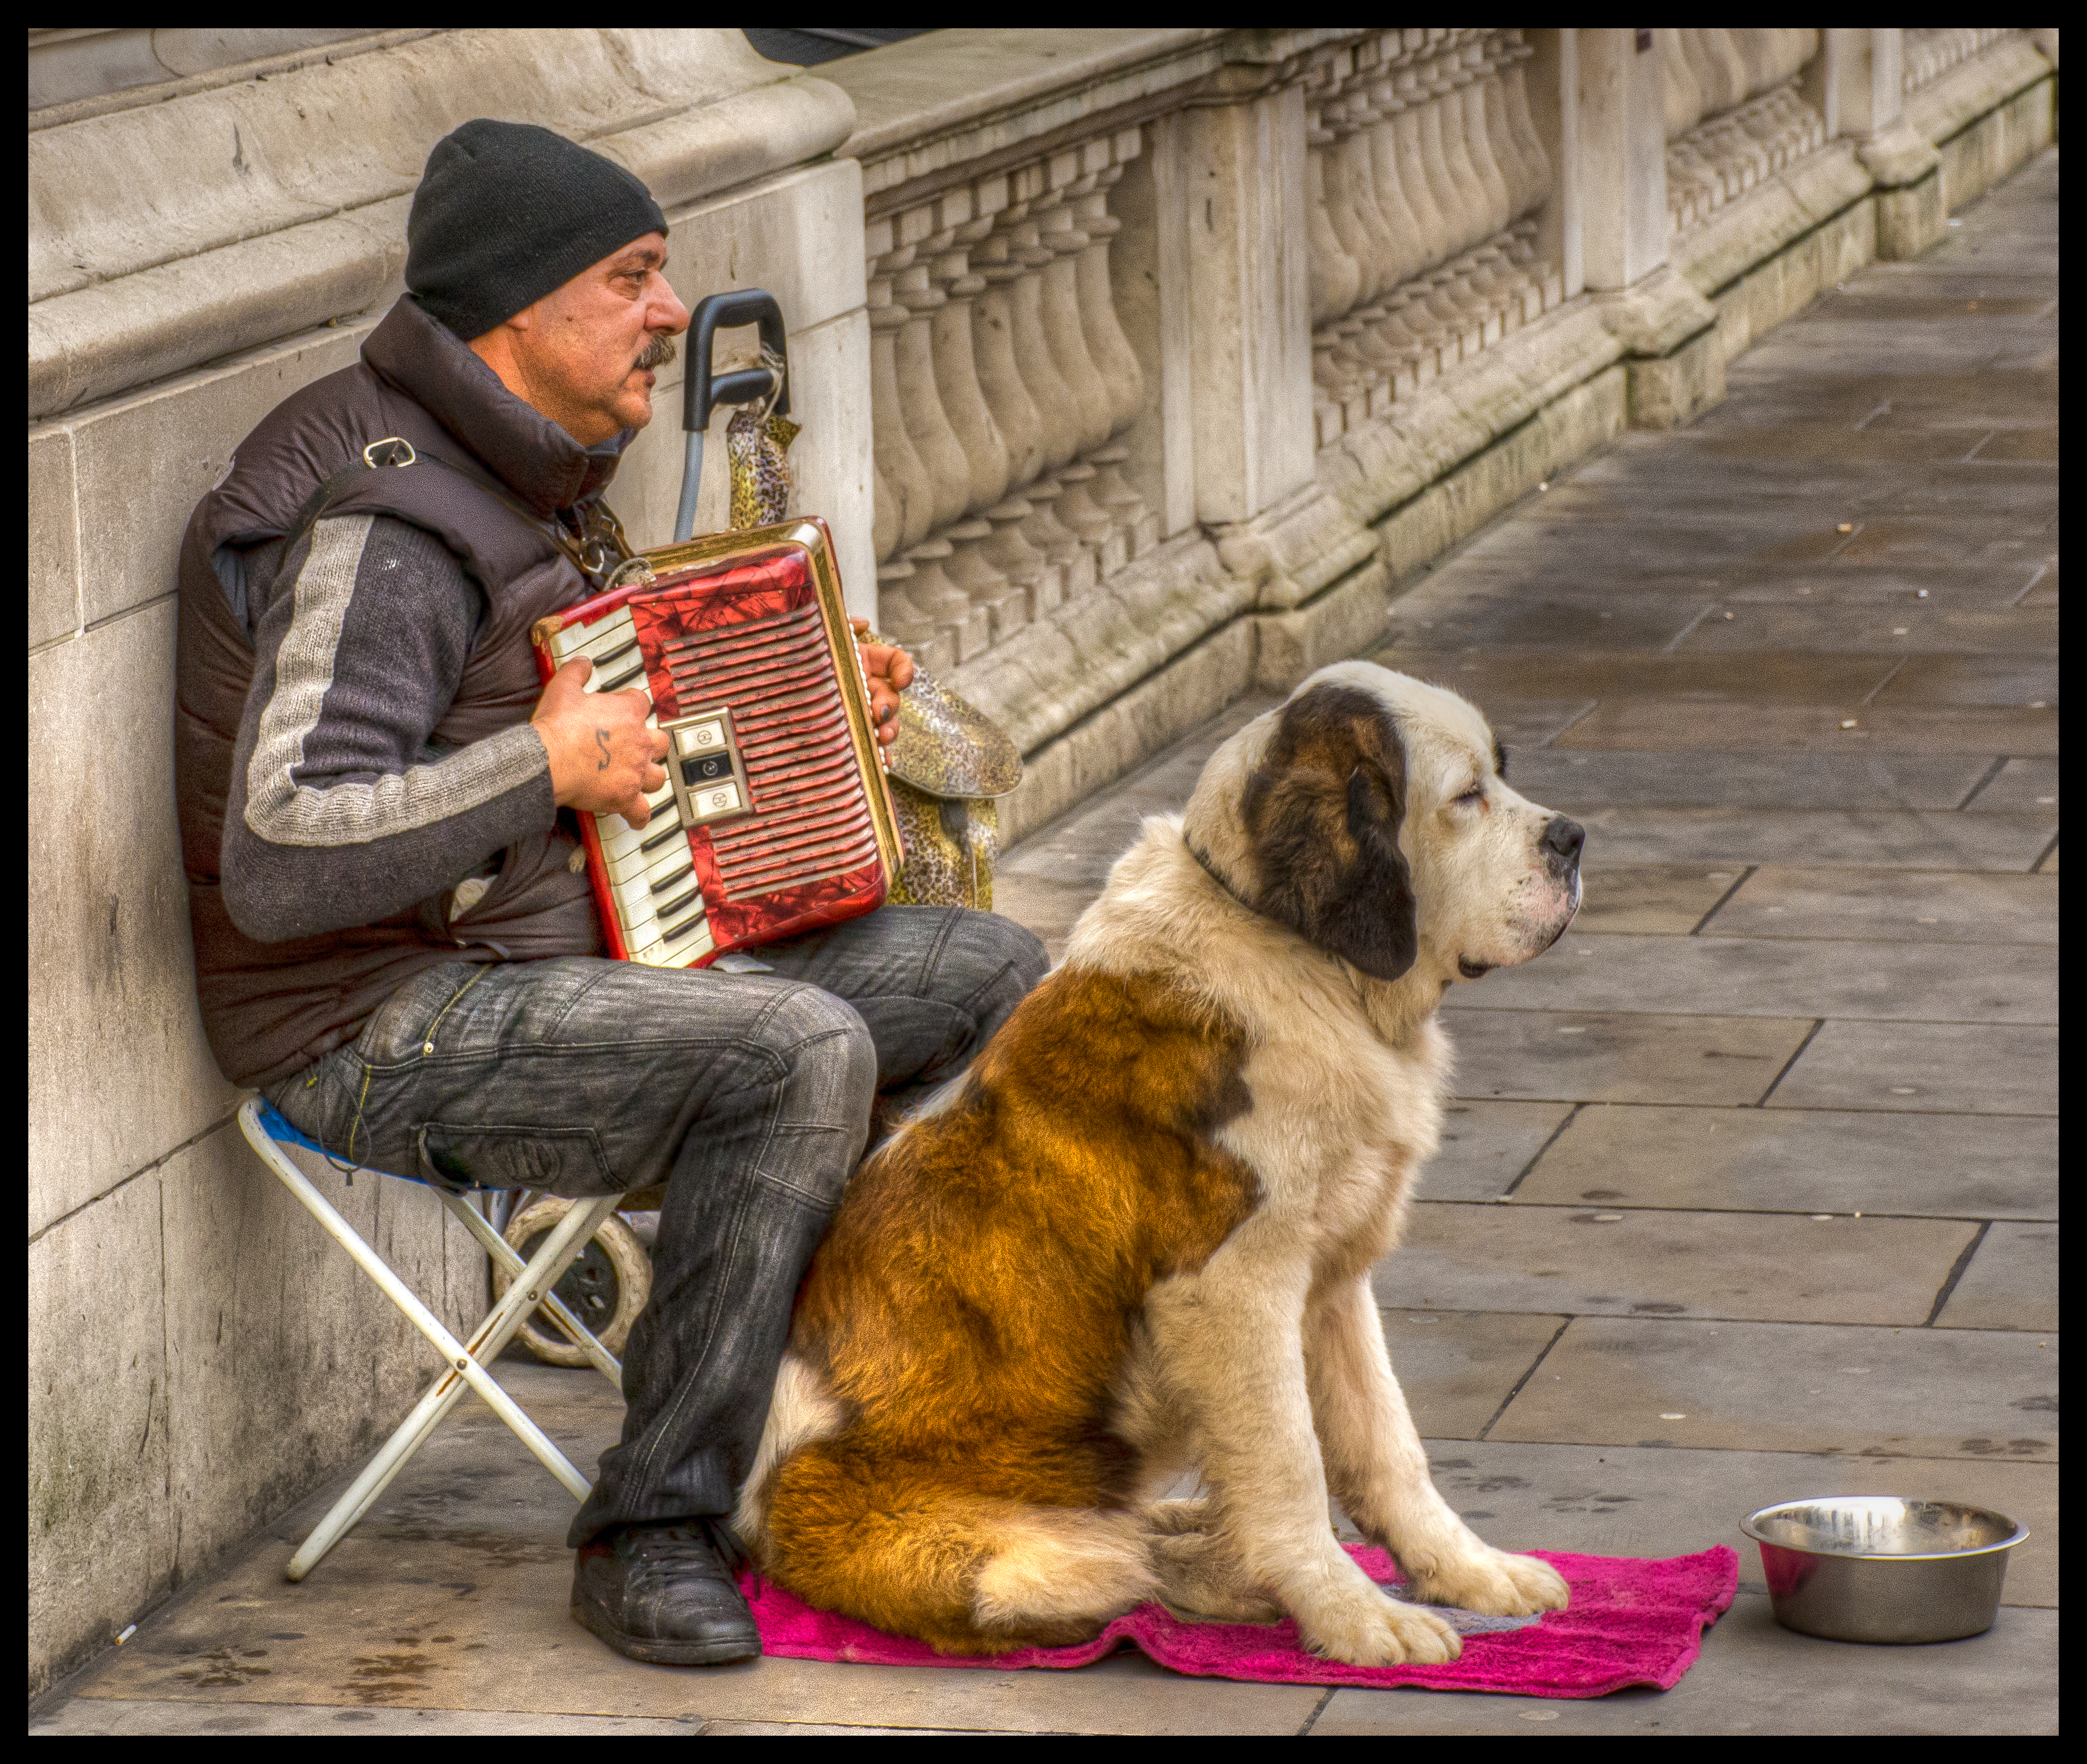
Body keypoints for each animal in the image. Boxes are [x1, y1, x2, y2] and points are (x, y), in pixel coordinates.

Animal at [734, 655, 1578, 1662]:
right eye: (1464, 798)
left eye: (1502, 775)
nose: (1571, 838)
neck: (1301, 956)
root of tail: (755, 1523)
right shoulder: (1231, 1285)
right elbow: (1290, 1463)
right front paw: (1353, 1616)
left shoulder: (1332, 1275)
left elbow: (1385, 1441)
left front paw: (1467, 1573)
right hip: (1018, 1564)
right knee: (1116, 1564)